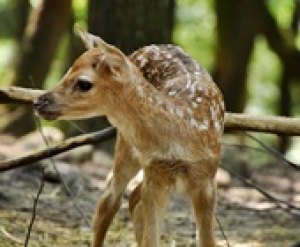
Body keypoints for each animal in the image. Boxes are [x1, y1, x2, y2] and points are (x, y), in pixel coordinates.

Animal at [32, 29, 225, 247]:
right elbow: (151, 239)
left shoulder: (206, 180)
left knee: (130, 197)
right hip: (126, 143)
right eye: (66, 72)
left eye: (84, 83)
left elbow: (207, 241)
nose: (38, 102)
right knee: (109, 199)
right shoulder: (155, 175)